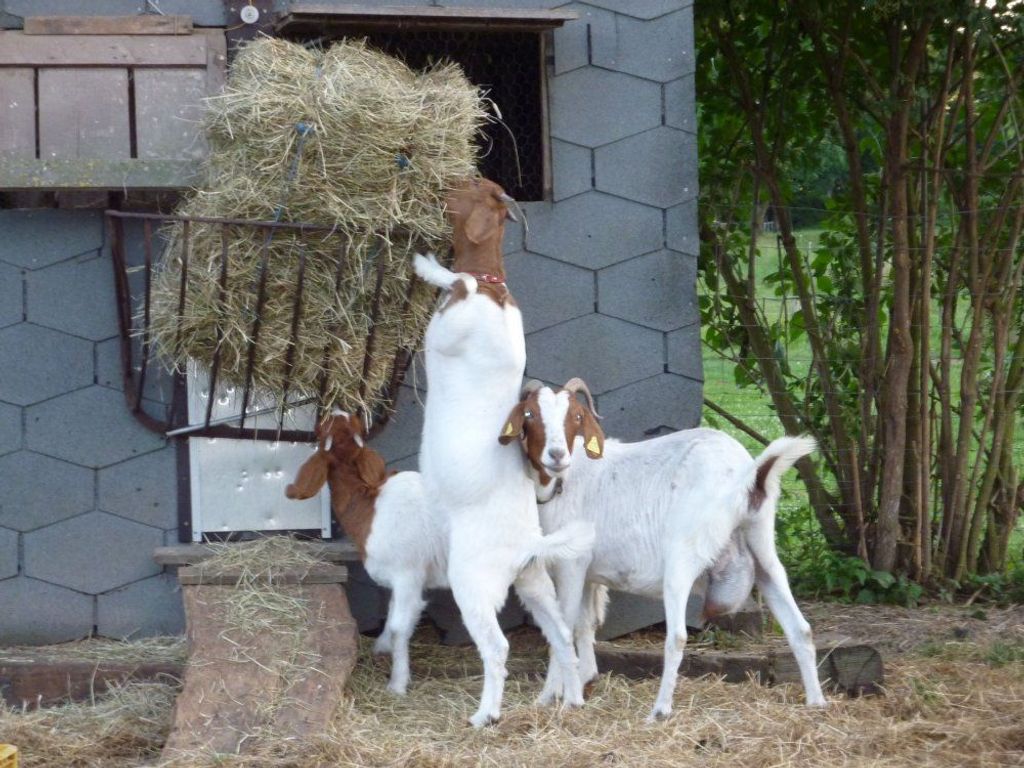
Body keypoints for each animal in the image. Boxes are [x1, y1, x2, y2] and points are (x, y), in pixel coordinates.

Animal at [285, 411, 445, 695]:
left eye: (322, 430)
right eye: (347, 425)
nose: (338, 411)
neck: (371, 507)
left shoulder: (407, 575)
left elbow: (399, 626)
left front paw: (397, 684)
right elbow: (391, 613)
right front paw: (381, 647)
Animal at [413, 178, 594, 727]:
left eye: (464, 189)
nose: (438, 188)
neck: (494, 287)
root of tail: (525, 544)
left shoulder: (451, 329)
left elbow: (457, 283)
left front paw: (428, 266)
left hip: (473, 586)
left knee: (497, 648)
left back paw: (484, 715)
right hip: (534, 584)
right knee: (562, 638)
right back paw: (570, 700)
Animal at [501, 379, 828, 720]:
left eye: (577, 416)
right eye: (530, 414)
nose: (556, 455)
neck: (566, 478)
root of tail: (748, 475)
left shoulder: (571, 564)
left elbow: (562, 628)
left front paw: (554, 696)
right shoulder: (589, 571)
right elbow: (584, 622)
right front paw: (586, 679)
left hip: (681, 558)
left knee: (677, 637)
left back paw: (659, 710)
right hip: (762, 546)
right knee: (800, 627)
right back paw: (816, 702)